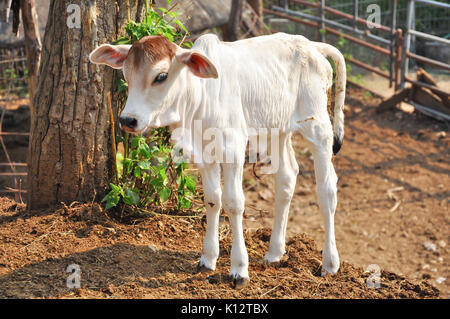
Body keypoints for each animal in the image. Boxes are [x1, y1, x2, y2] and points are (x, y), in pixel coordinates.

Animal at [89, 33, 346, 290]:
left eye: (160, 76)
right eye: (126, 74)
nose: (127, 120)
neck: (199, 96)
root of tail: (311, 45)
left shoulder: (234, 149)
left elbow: (234, 203)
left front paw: (239, 269)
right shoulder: (204, 155)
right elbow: (213, 200)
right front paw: (208, 258)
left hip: (318, 127)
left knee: (327, 189)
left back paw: (330, 263)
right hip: (276, 131)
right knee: (287, 177)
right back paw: (275, 252)